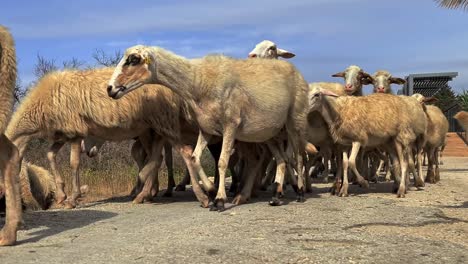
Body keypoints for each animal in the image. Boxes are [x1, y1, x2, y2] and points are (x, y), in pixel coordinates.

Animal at [5, 67, 206, 208]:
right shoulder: (63, 134)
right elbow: (50, 155)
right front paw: (61, 194)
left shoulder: (76, 132)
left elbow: (73, 163)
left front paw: (72, 198)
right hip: (151, 130)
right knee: (157, 157)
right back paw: (146, 194)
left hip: (161, 123)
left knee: (180, 153)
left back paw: (197, 195)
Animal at [107, 45, 308, 210]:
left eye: (133, 59)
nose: (110, 89)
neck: (197, 80)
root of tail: (293, 68)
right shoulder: (206, 129)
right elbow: (195, 158)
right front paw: (210, 190)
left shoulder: (230, 125)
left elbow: (222, 162)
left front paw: (219, 200)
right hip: (270, 132)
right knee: (281, 159)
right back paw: (276, 195)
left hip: (294, 122)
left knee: (297, 156)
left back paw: (299, 192)